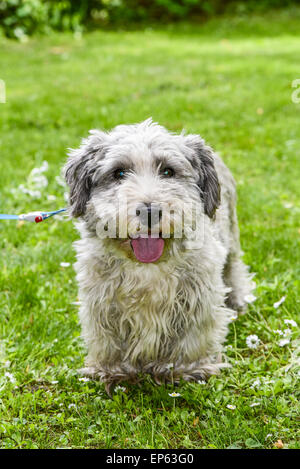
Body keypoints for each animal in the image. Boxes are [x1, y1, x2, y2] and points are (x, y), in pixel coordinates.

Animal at [63, 117, 253, 392]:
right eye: (119, 173)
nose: (149, 211)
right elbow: (107, 339)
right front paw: (112, 372)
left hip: (232, 240)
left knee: (234, 270)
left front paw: (189, 369)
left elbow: (193, 337)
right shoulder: (101, 299)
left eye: (168, 171)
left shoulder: (199, 298)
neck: (146, 268)